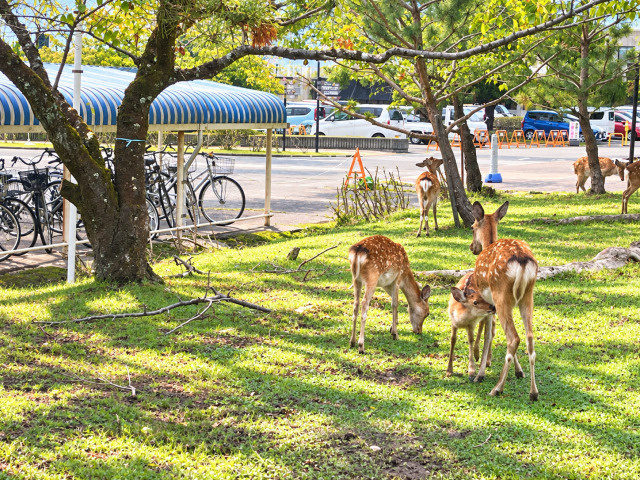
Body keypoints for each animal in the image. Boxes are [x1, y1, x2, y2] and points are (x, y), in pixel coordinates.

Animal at [470, 201, 540, 401]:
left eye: (472, 227)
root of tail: (522, 261)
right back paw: (533, 392)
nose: (472, 247)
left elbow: (488, 333)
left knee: (513, 338)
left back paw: (497, 388)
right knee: (529, 337)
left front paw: (480, 370)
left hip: (501, 295)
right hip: (527, 296)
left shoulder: (487, 301)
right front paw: (519, 371)